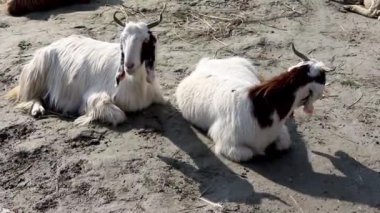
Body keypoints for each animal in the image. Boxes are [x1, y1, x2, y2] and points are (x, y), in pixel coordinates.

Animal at [6, 7, 166, 125]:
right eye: (123, 39)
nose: (129, 65)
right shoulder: (95, 96)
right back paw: (38, 109)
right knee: (30, 96)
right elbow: (119, 116)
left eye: (146, 41)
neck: (136, 83)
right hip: (36, 74)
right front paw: (82, 115)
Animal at [175, 44, 330, 162]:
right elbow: (251, 153)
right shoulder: (228, 144)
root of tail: (205, 63)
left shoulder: (280, 131)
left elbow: (284, 143)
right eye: (322, 78)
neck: (259, 105)